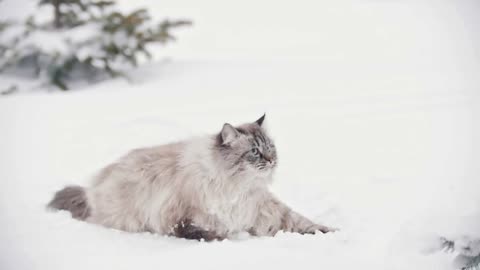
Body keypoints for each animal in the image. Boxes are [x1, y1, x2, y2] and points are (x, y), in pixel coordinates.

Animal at [47, 114, 334, 240]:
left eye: (270, 147)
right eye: (254, 151)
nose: (271, 160)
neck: (237, 188)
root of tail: (91, 189)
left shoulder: (263, 210)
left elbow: (304, 223)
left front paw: (330, 232)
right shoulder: (184, 220)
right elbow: (211, 234)